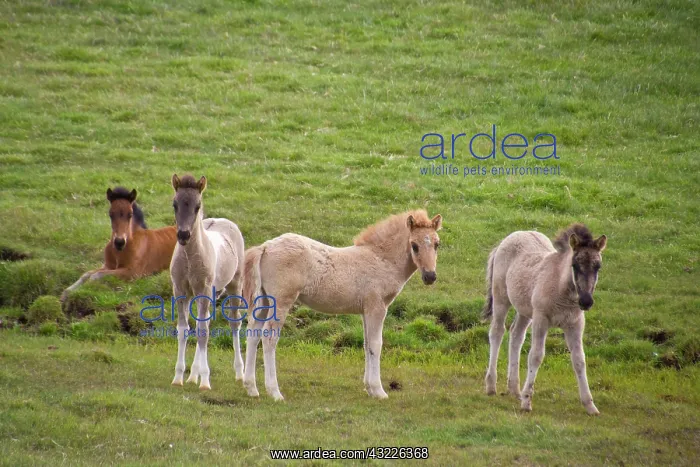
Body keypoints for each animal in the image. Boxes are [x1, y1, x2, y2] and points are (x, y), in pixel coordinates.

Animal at [169, 174, 245, 391]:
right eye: (175, 204)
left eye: (197, 206)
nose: (183, 235)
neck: (189, 257)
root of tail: (223, 220)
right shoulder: (180, 290)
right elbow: (184, 329)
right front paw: (179, 377)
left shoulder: (202, 289)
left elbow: (202, 331)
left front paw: (205, 381)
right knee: (206, 321)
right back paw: (192, 376)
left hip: (234, 285)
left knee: (234, 322)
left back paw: (240, 373)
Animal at [241, 210, 442, 401]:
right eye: (414, 245)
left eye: (437, 244)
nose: (430, 276)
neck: (381, 260)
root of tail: (265, 247)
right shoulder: (377, 307)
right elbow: (376, 344)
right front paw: (378, 391)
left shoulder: (365, 311)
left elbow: (366, 343)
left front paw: (369, 388)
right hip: (281, 301)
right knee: (269, 337)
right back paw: (274, 392)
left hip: (264, 300)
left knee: (253, 333)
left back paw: (251, 389)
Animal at [482, 224, 607, 415]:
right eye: (575, 265)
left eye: (597, 266)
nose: (586, 301)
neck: (563, 292)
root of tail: (510, 237)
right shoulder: (541, 319)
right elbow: (536, 355)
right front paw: (527, 402)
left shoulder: (575, 324)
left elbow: (579, 360)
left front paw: (590, 405)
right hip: (501, 298)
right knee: (497, 332)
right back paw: (491, 386)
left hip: (525, 310)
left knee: (516, 335)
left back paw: (514, 389)